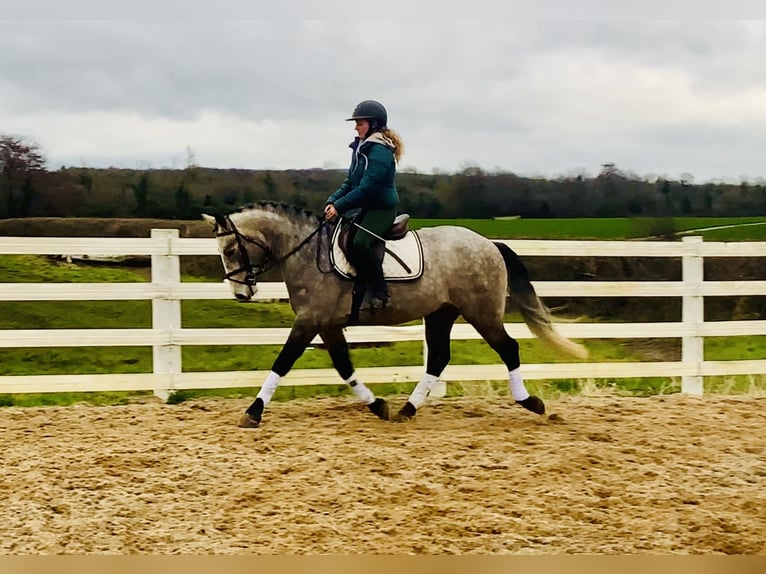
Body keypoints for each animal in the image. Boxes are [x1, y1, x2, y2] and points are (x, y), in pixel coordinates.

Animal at [202, 202, 587, 427]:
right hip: (441, 314)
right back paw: (407, 410)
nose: (241, 293)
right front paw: (378, 406)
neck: (309, 252)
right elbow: (344, 366)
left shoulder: (310, 321)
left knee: (508, 349)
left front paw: (253, 411)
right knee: (439, 358)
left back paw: (531, 402)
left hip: (482, 314)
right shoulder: (327, 324)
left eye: (232, 249)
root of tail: (489, 244)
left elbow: (283, 361)